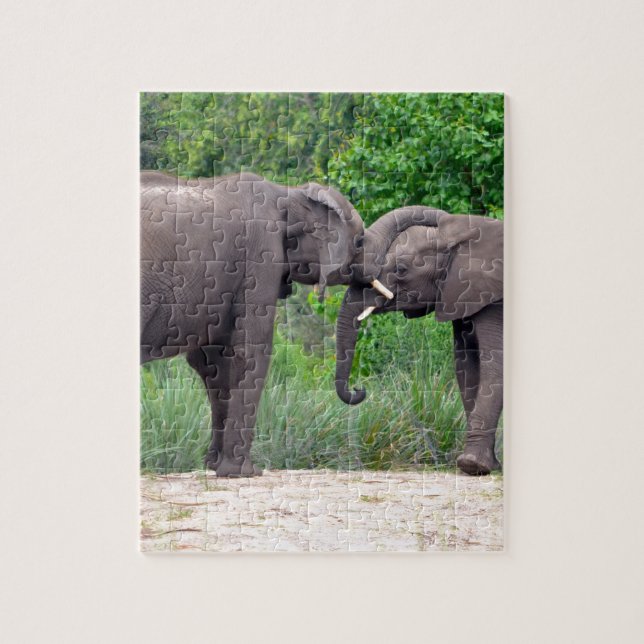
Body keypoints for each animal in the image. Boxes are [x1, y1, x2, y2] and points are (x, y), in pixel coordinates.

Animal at [140, 171, 399, 477]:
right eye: (358, 242)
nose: (360, 390)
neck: (289, 192)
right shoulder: (260, 254)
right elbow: (252, 351)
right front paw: (244, 472)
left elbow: (212, 362)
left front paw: (215, 467)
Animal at [334, 206, 503, 475]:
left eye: (401, 269)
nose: (359, 389)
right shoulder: (460, 294)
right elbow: (467, 367)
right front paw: (488, 466)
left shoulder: (491, 297)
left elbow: (493, 365)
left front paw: (472, 465)